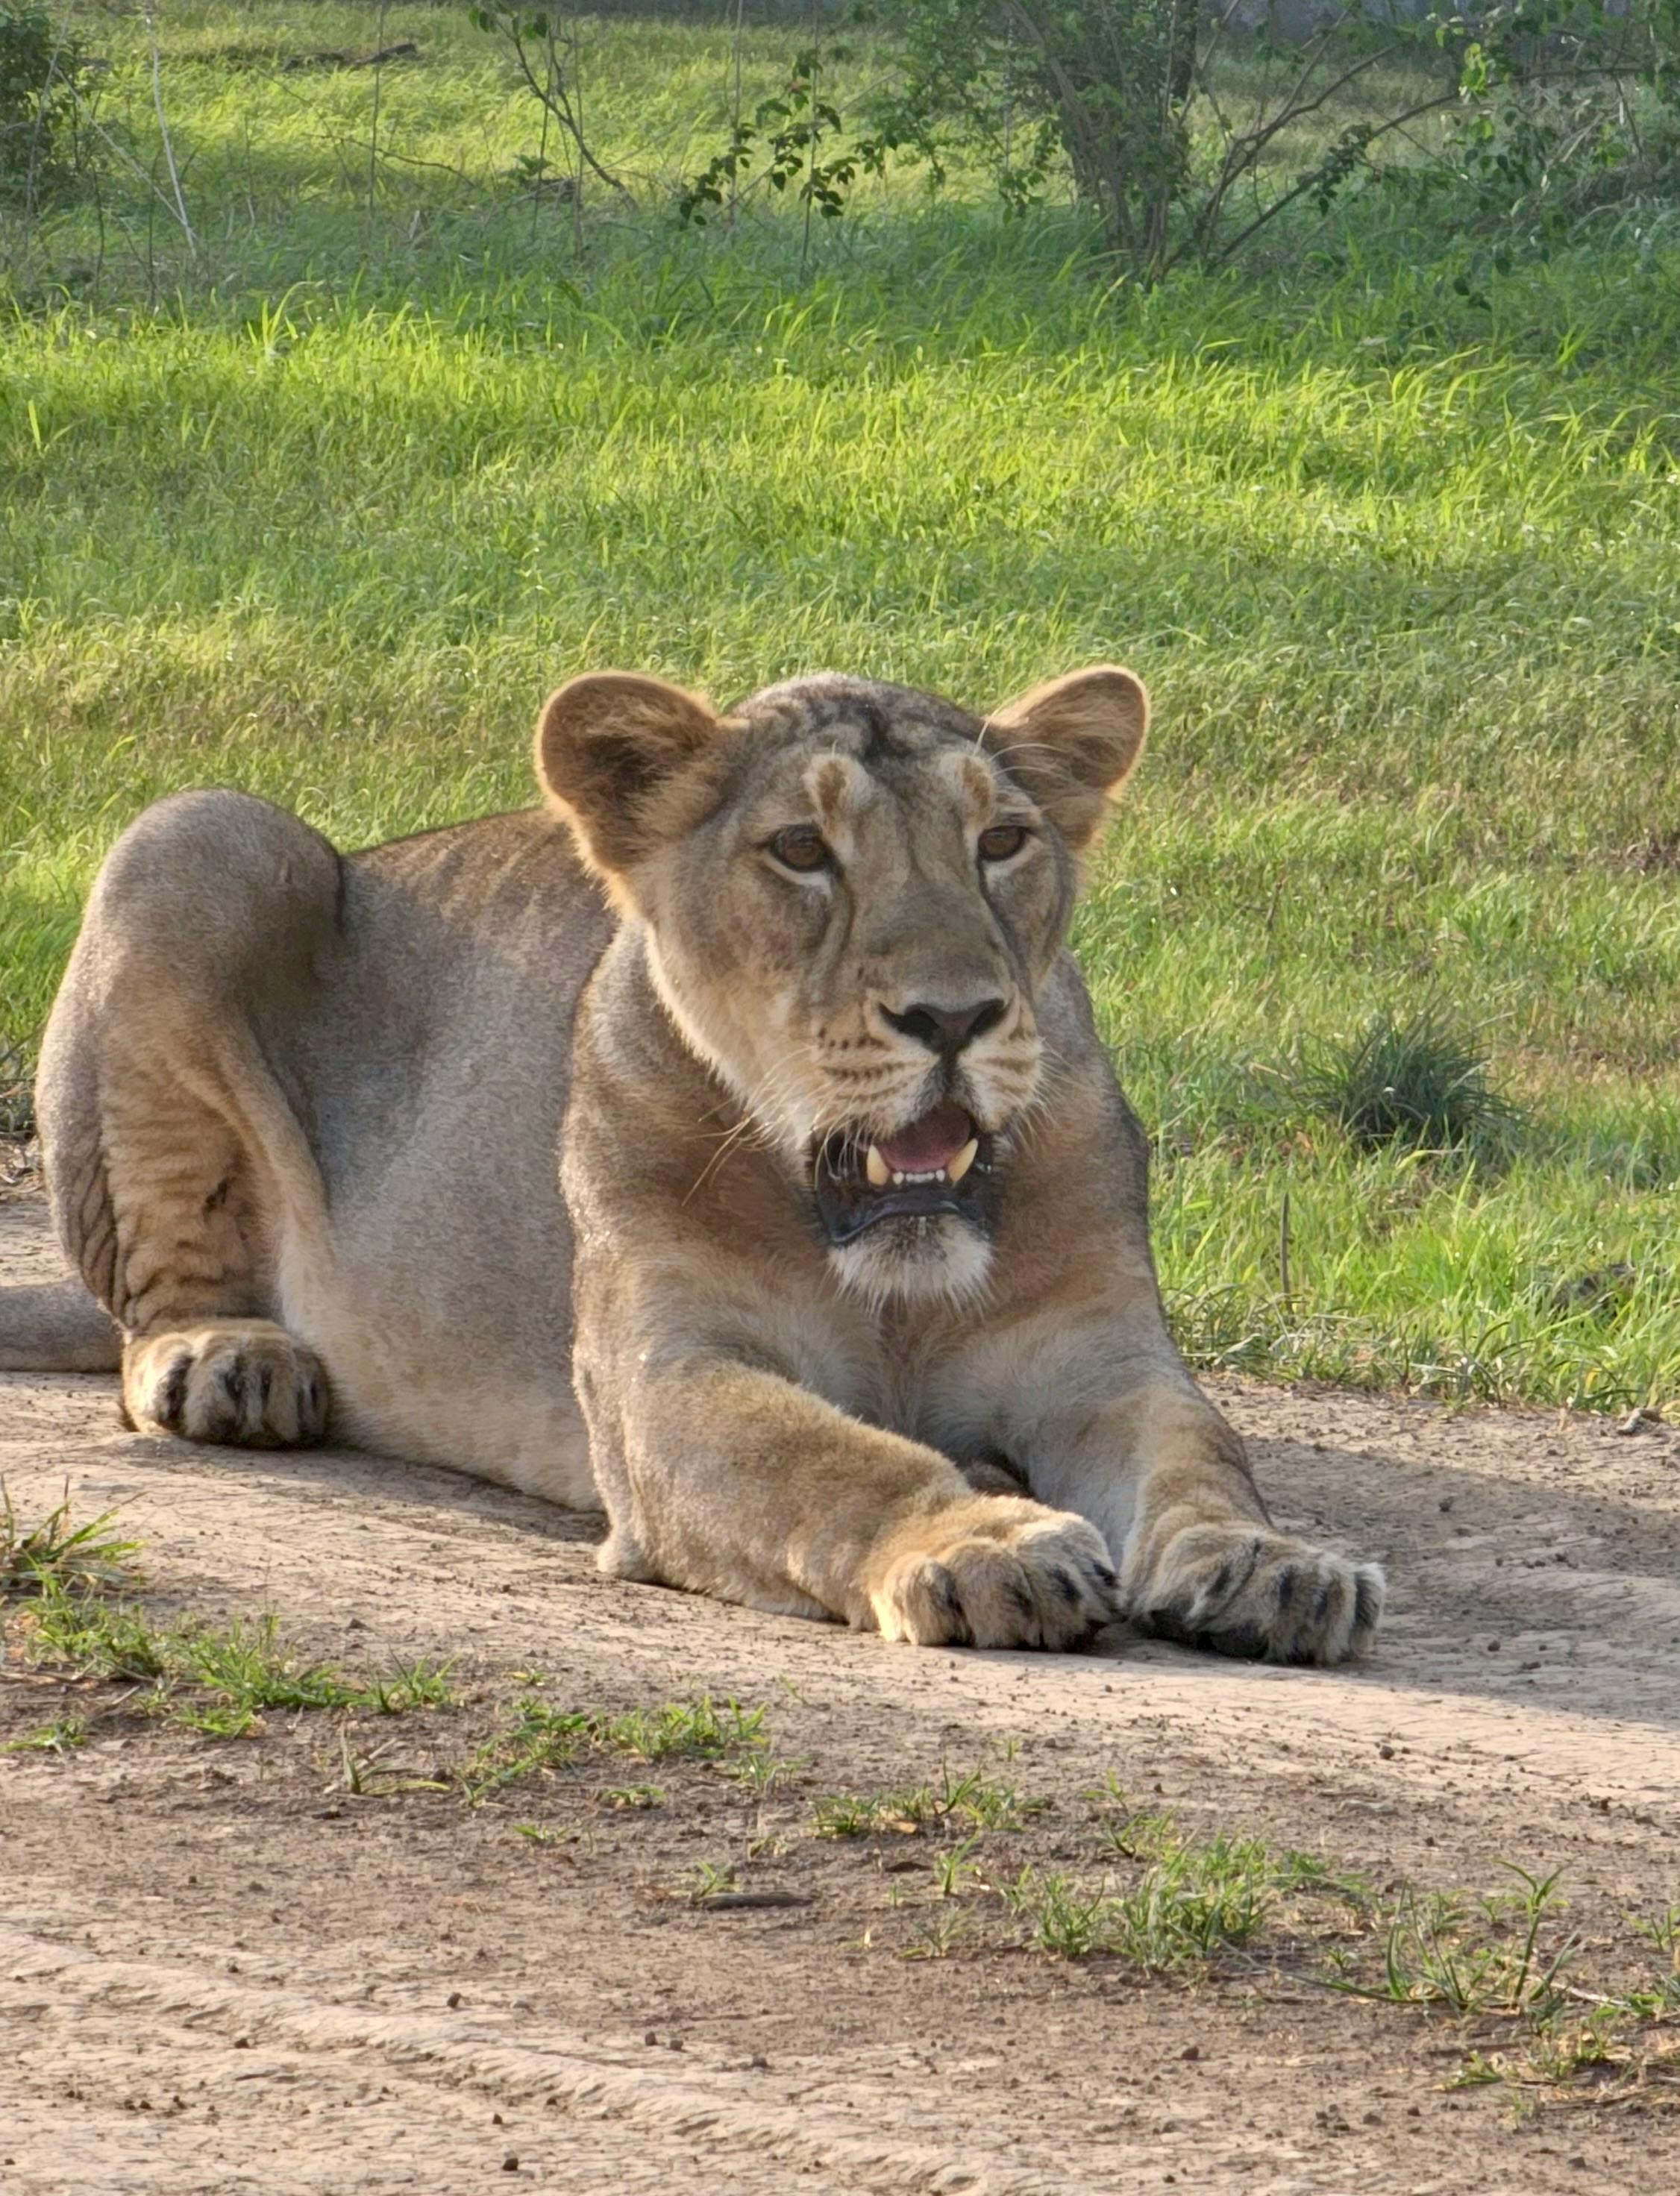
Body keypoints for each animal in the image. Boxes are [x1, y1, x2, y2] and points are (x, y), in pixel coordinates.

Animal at [3, 665, 1382, 1660]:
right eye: (800, 851)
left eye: (1000, 841)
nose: (955, 1016)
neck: (886, 1275)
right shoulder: (662, 1375)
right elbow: (827, 1458)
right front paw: (986, 1542)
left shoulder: (1097, 1357)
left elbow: (1198, 1452)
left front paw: (1274, 1565)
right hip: (195, 835)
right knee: (147, 1303)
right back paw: (228, 1358)